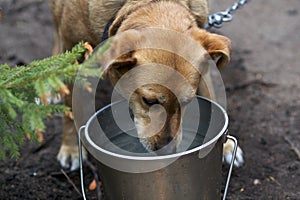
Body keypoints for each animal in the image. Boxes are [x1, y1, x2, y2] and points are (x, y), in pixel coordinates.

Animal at [51, 0, 244, 170]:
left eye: (187, 102)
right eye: (149, 101)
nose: (169, 151)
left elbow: (211, 96)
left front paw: (225, 145)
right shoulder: (73, 52)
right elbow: (70, 108)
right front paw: (71, 148)